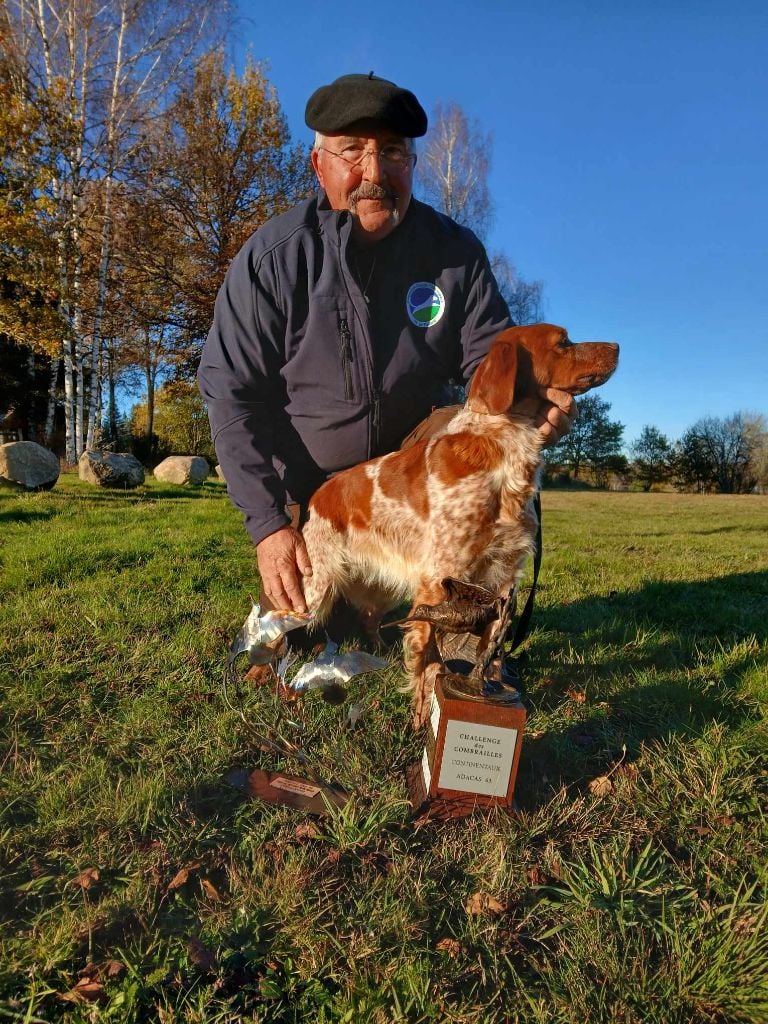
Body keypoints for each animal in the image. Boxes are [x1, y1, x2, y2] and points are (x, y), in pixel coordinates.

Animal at [301, 323, 618, 724]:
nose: (617, 347)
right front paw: (423, 716)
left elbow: (487, 648)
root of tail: (319, 495)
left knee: (369, 619)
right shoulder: (439, 579)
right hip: (318, 585)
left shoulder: (502, 577)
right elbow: (428, 660)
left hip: (382, 586)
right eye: (563, 342)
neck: (504, 448)